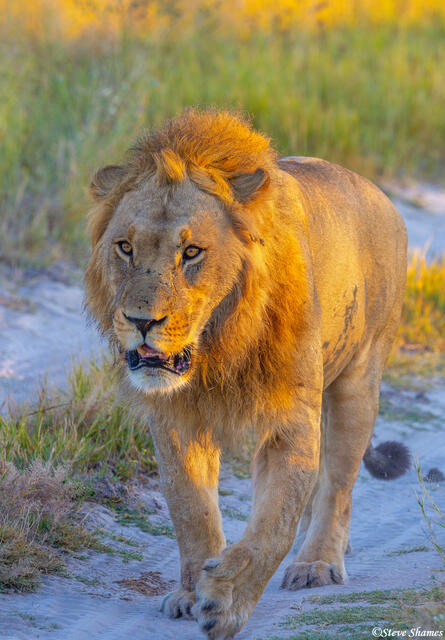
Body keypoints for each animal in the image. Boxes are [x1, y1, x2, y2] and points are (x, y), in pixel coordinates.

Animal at [85, 109, 409, 639]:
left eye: (191, 252)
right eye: (126, 247)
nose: (140, 321)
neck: (216, 346)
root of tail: (380, 194)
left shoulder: (290, 420)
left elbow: (274, 524)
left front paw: (227, 600)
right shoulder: (175, 418)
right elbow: (191, 509)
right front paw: (191, 592)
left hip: (358, 382)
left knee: (338, 484)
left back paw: (318, 562)